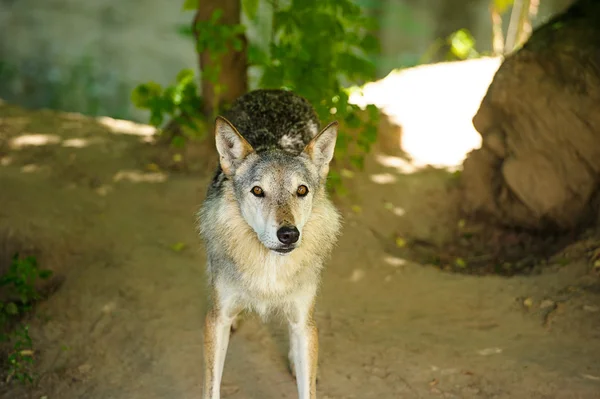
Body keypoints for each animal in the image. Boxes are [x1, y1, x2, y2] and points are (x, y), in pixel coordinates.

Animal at [198, 90, 342, 399]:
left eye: (301, 190)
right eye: (257, 191)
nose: (288, 234)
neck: (269, 267)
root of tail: (276, 90)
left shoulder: (304, 321)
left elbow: (307, 388)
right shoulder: (214, 322)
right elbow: (212, 387)